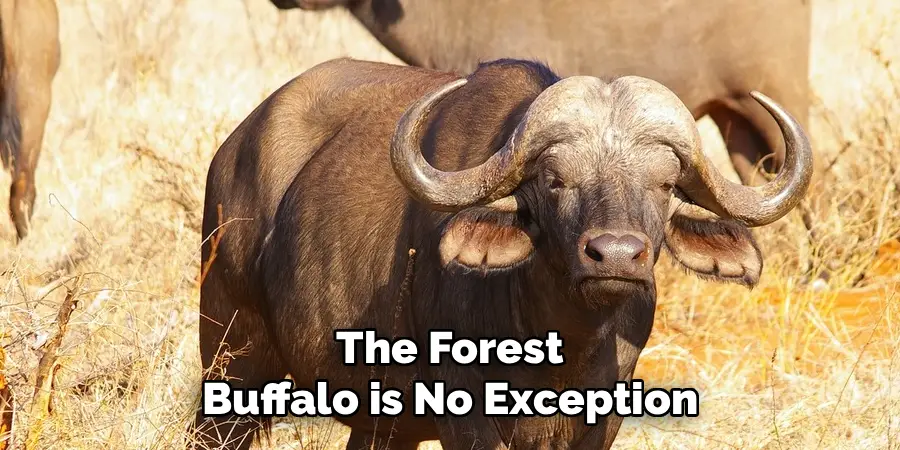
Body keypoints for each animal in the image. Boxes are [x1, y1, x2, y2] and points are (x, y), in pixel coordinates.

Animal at [192, 58, 812, 450]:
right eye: (555, 180)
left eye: (663, 186)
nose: (614, 256)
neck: (559, 348)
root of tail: (233, 149)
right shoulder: (464, 415)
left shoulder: (603, 418)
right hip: (232, 365)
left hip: (379, 424)